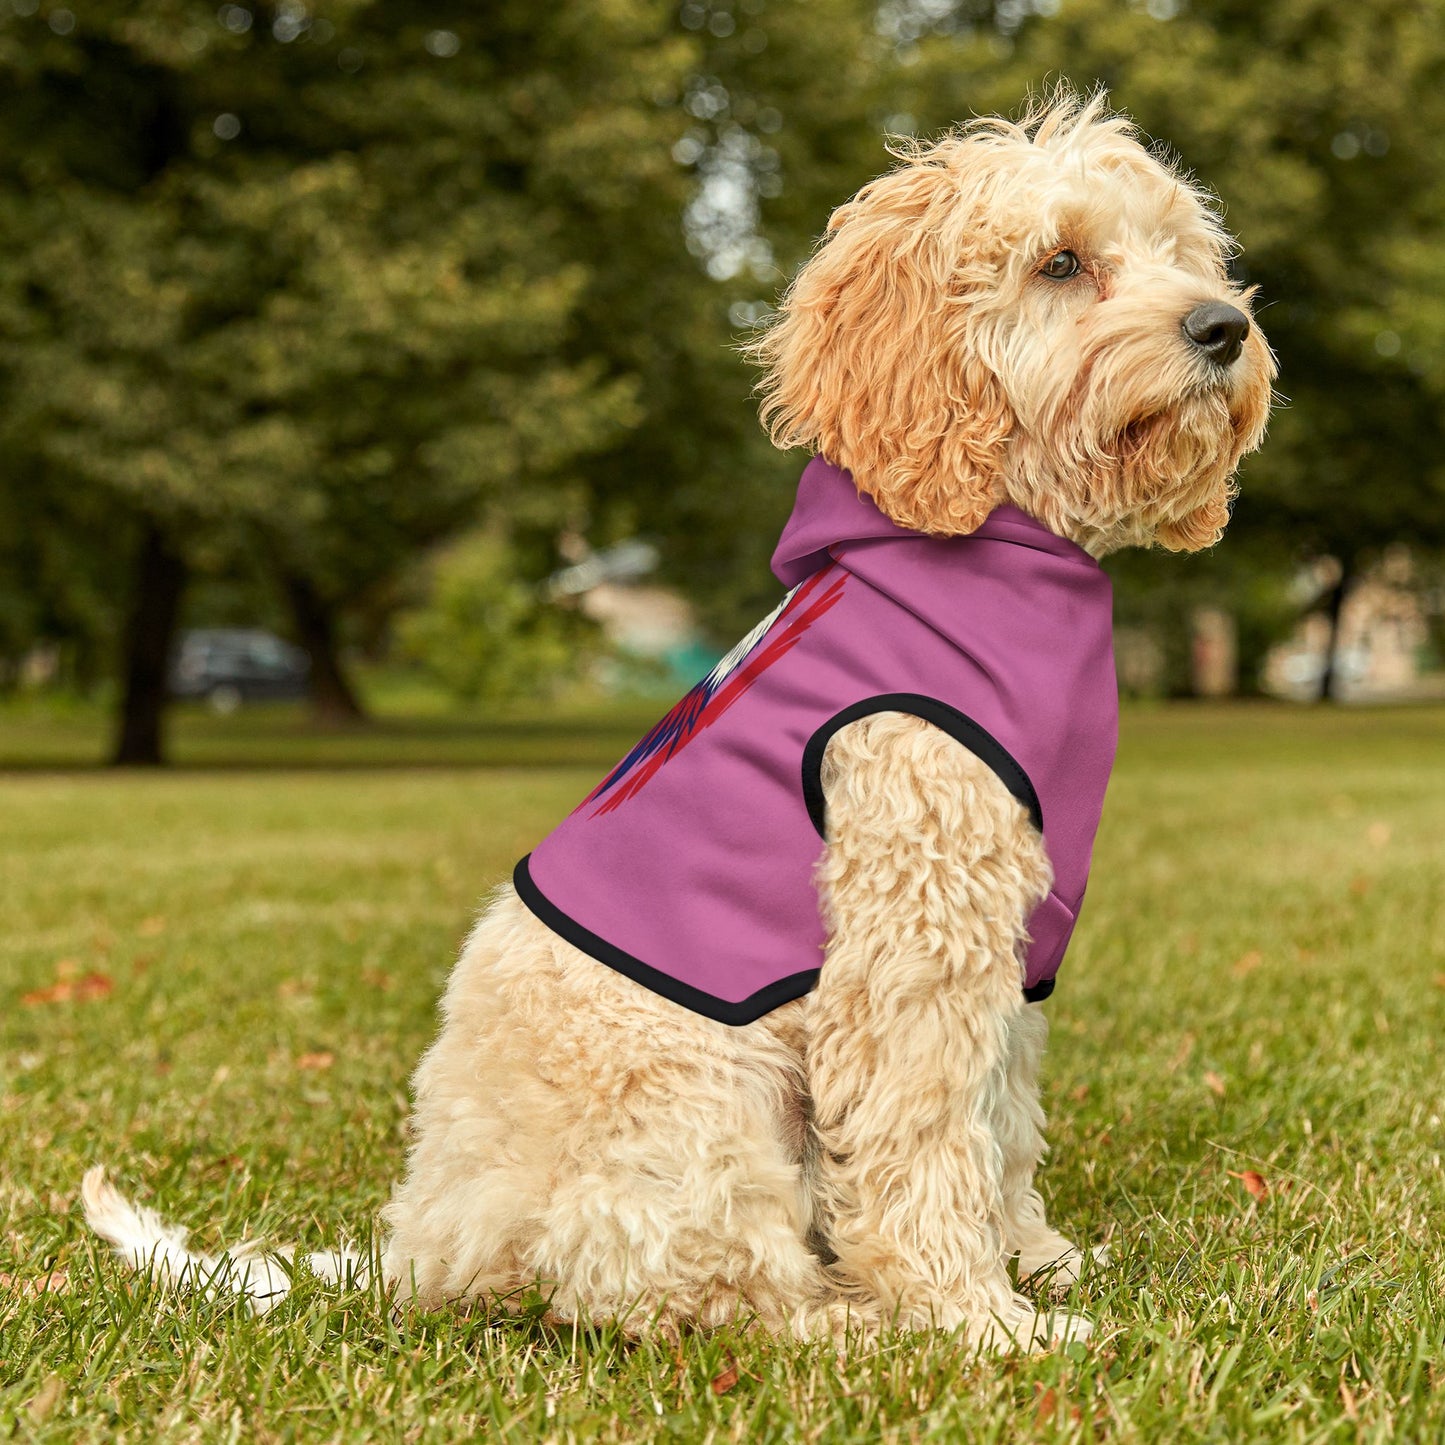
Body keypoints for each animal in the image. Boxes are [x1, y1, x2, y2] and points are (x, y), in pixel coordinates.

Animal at [84, 93, 1271, 1352]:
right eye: (1060, 262)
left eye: (1180, 251)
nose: (1222, 327)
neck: (986, 547)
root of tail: (424, 1246)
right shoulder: (912, 936)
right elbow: (924, 1138)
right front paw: (976, 1318)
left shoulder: (1009, 944)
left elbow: (999, 1120)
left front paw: (1035, 1259)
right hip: (703, 1100)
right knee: (701, 1291)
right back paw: (852, 1322)